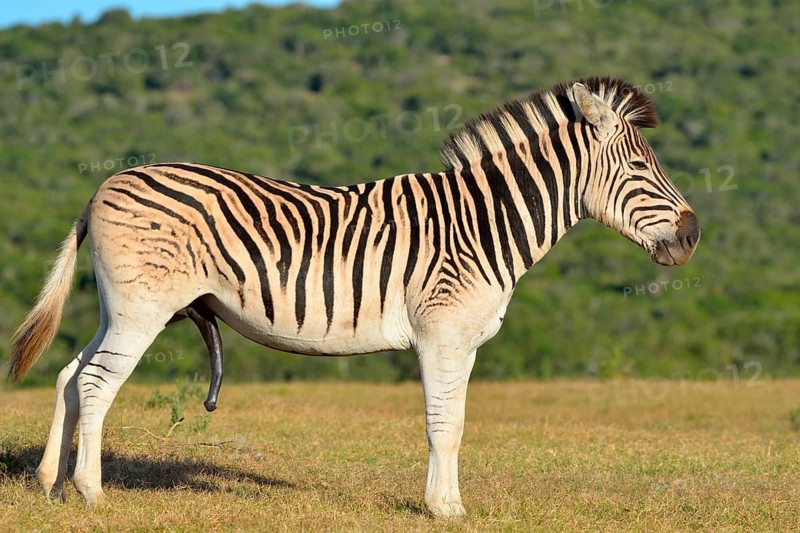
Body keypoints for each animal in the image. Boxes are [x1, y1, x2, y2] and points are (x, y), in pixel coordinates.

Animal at [8, 77, 699, 517]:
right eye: (641, 170)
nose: (693, 236)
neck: (483, 224)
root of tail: (104, 185)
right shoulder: (442, 333)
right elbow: (444, 425)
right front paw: (444, 509)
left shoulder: (465, 341)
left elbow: (456, 423)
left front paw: (446, 501)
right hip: (143, 309)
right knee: (96, 384)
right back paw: (92, 495)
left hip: (121, 308)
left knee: (71, 374)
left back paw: (49, 484)